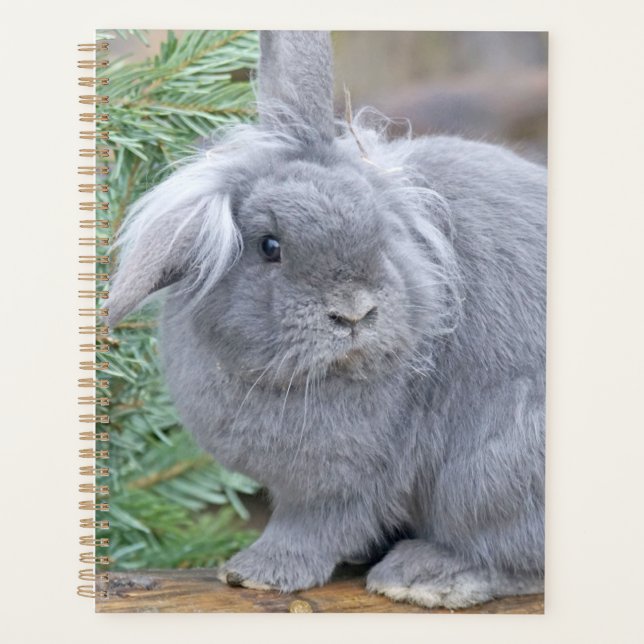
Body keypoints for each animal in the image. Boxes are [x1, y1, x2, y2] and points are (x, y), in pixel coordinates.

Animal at [108, 31, 546, 609]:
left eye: (380, 230)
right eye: (270, 246)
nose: (355, 312)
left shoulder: (342, 483)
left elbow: (314, 528)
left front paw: (256, 572)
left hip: (492, 472)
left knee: (514, 558)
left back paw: (425, 576)